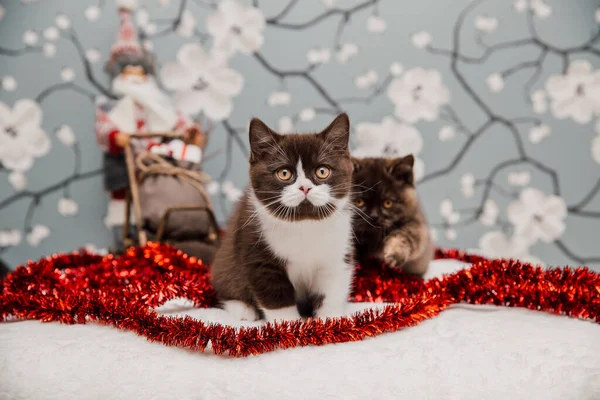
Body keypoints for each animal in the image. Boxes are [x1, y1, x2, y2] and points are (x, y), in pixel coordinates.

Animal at [212, 112, 356, 322]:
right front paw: (289, 325)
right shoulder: (256, 249)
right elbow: (275, 295)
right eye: (284, 173)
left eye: (322, 171)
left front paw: (331, 321)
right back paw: (243, 309)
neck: (304, 224)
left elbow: (331, 290)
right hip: (225, 259)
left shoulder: (337, 252)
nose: (305, 187)